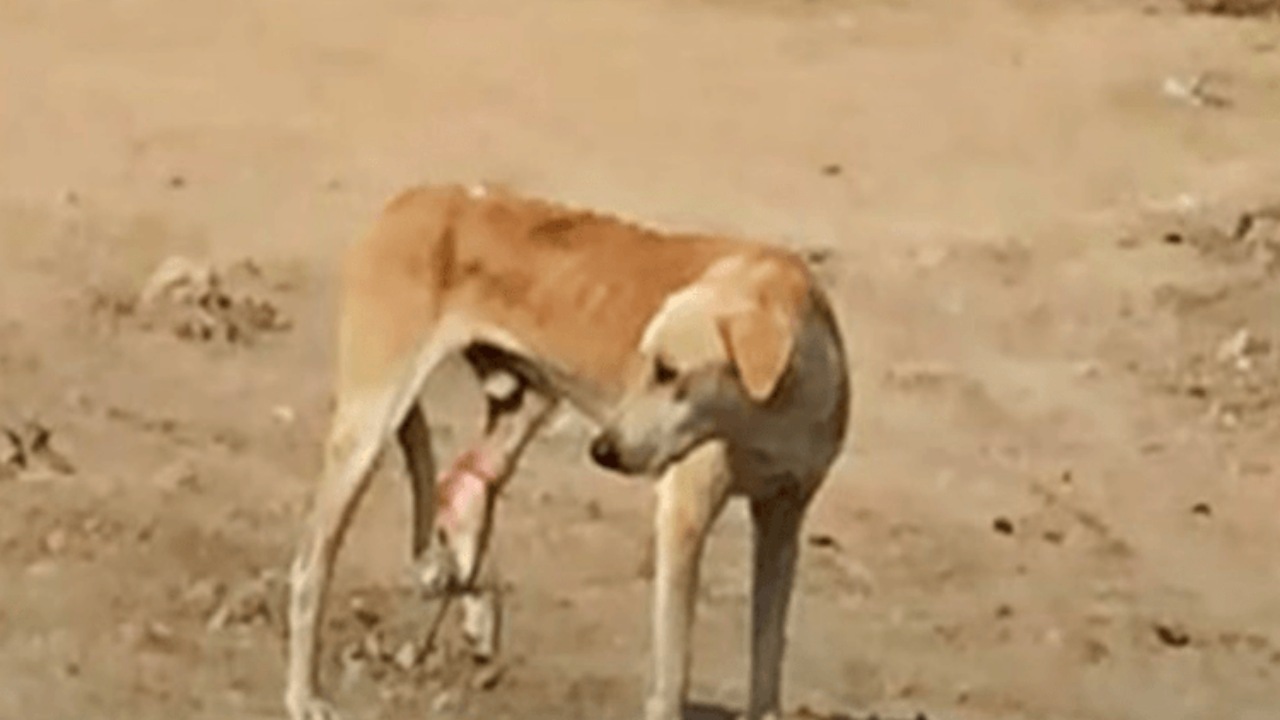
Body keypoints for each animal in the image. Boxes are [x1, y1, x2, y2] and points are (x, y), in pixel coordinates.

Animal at [285, 181, 855, 717]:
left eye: (668, 371)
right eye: (648, 362)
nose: (603, 451)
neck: (774, 411)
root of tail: (414, 197)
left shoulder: (783, 519)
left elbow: (769, 650)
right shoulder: (684, 516)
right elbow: (673, 669)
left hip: (523, 404)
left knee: (464, 483)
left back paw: (474, 605)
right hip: (368, 428)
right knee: (311, 565)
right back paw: (302, 695)